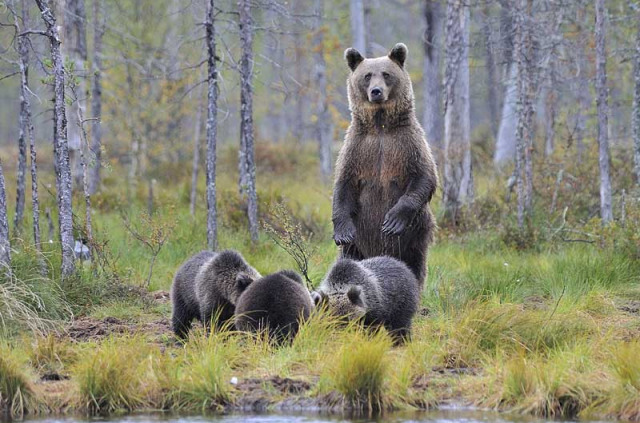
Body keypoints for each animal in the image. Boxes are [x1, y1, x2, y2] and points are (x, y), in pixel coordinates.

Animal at [332, 43, 438, 288]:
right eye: (367, 76)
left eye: (386, 74)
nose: (376, 91)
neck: (380, 126)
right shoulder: (358, 148)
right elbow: (343, 183)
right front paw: (342, 231)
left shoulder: (408, 144)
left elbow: (425, 176)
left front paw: (392, 221)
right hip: (358, 246)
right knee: (349, 260)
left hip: (417, 234)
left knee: (415, 264)